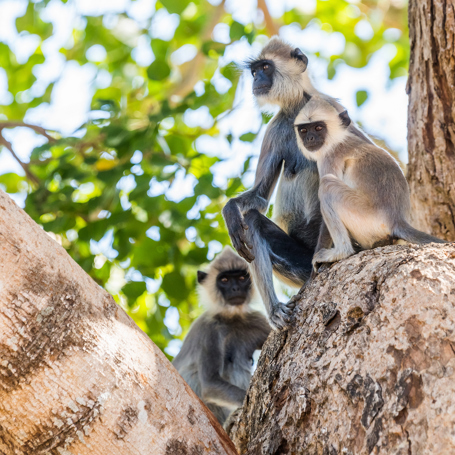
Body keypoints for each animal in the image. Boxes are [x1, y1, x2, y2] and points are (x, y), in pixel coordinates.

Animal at [171, 248, 270, 426]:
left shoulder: (256, 320)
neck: (232, 319)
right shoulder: (209, 330)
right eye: (224, 280)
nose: (236, 288)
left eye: (242, 278)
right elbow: (210, 384)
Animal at [222, 37, 374, 330]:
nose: (256, 79)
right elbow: (259, 198)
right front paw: (230, 210)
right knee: (252, 221)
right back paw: (276, 311)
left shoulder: (334, 109)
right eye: (254, 71)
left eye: (265, 68)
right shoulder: (275, 127)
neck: (298, 111)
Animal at [294, 94, 448, 268]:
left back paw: (342, 252)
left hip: (366, 216)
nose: (309, 138)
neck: (337, 139)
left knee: (327, 185)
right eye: (304, 130)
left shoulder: (329, 156)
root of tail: (397, 220)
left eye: (318, 128)